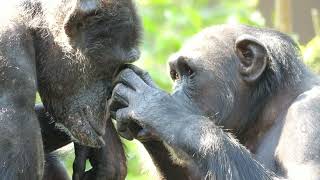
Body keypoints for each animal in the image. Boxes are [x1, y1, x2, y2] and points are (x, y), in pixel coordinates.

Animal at [109, 24, 320, 179]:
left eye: (189, 72)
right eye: (175, 75)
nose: (175, 94)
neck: (266, 107)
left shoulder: (308, 113)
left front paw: (159, 108)